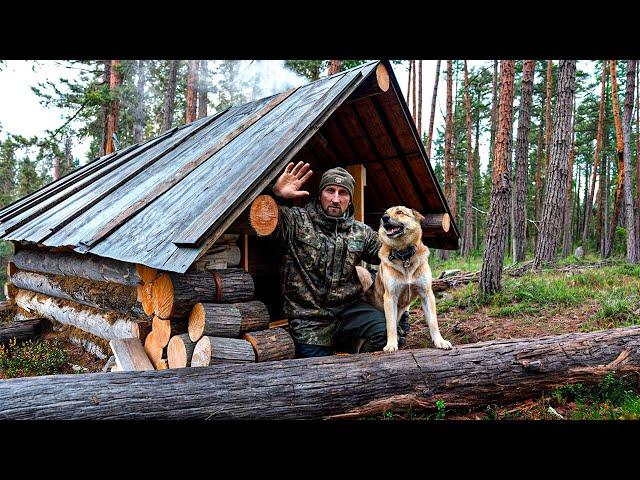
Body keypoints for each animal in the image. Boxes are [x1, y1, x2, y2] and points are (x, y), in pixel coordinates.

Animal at [358, 206, 452, 352]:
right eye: (385, 213)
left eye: (399, 212)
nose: (384, 218)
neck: (404, 255)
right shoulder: (390, 297)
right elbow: (390, 325)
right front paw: (391, 344)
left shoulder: (427, 294)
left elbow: (433, 321)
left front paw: (439, 341)